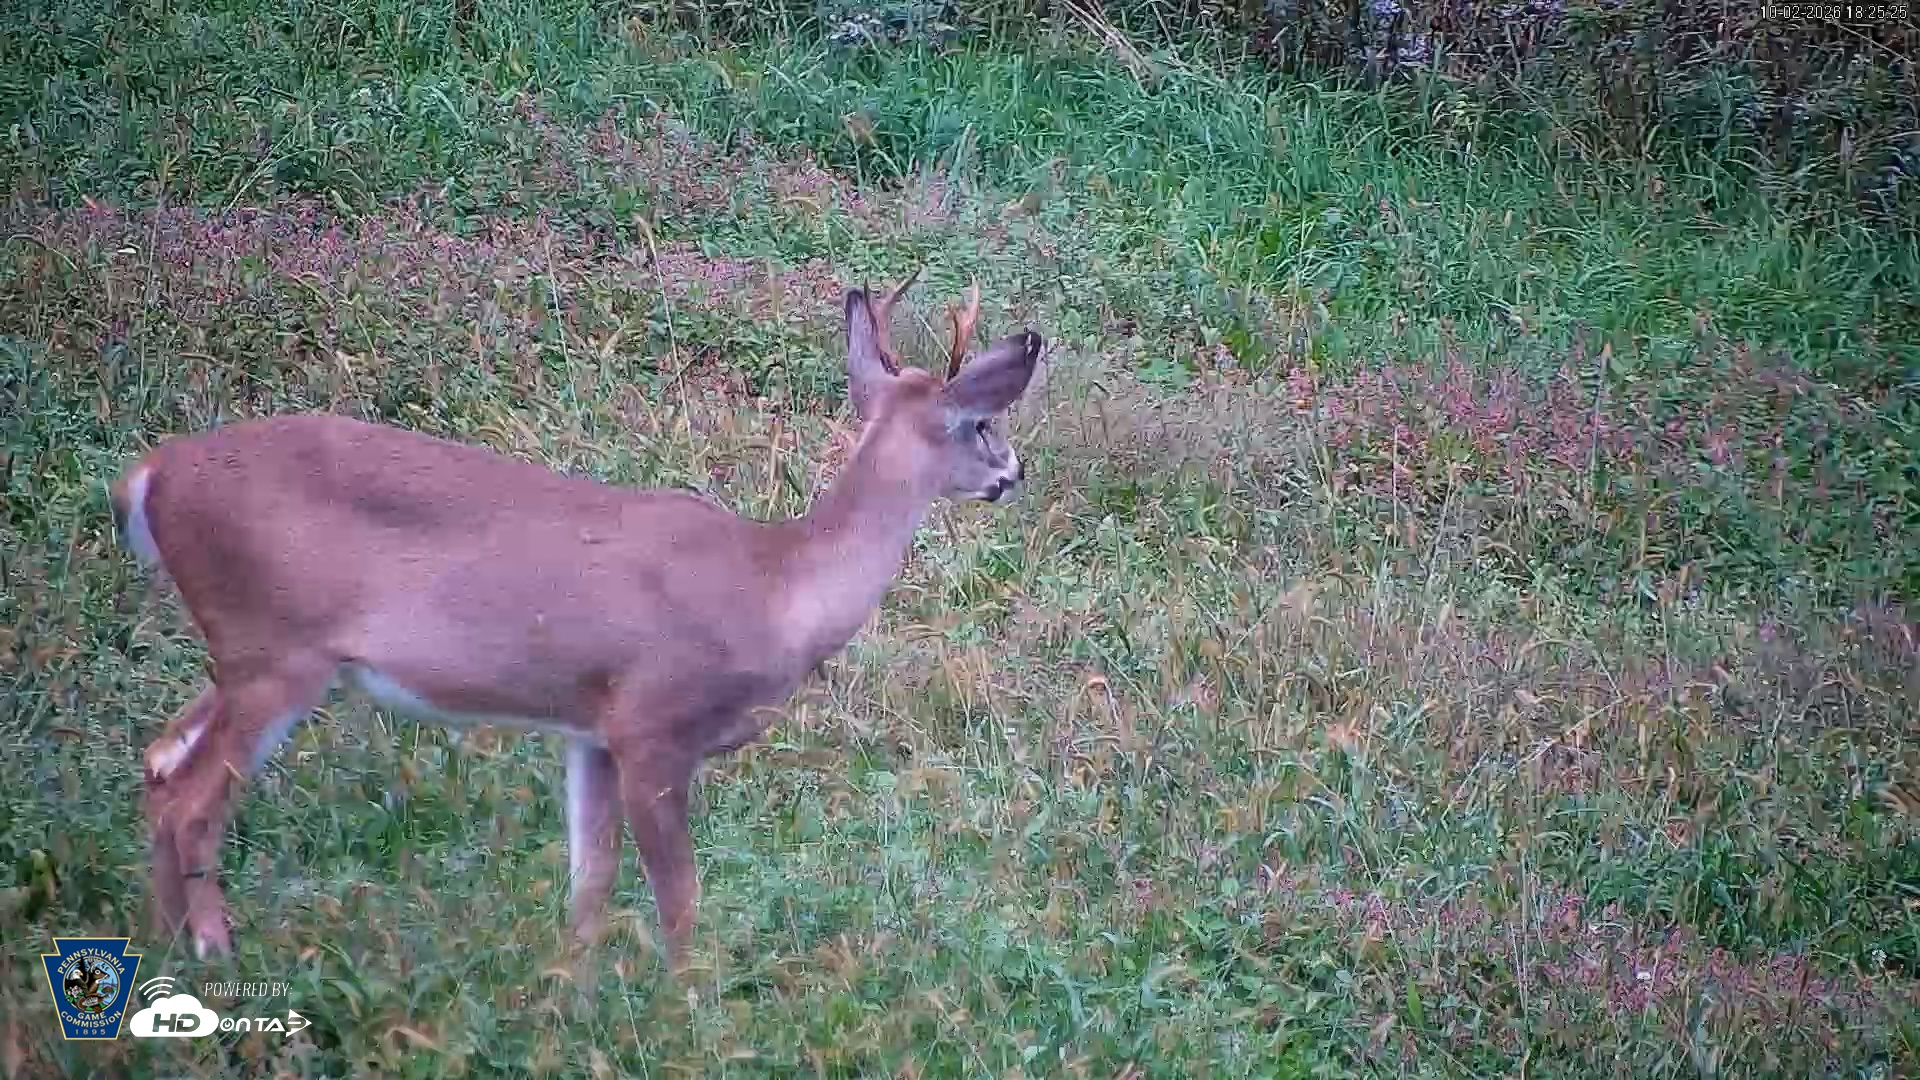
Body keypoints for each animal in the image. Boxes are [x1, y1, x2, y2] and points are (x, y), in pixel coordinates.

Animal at [110, 272, 1043, 968]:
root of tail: (149, 477)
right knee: (191, 801)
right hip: (277, 648)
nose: (1014, 472)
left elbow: (588, 882)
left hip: (245, 654)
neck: (777, 587)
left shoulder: (589, 730)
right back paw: (212, 953)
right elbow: (679, 896)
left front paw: (575, 989)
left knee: (159, 762)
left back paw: (158, 947)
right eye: (981, 422)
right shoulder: (653, 725)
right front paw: (685, 1005)